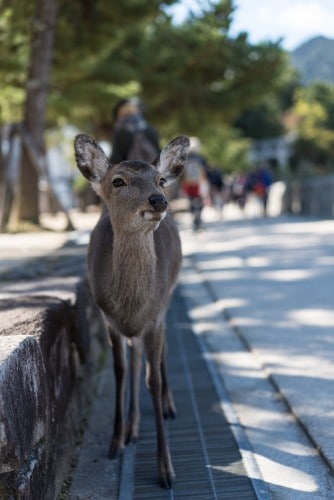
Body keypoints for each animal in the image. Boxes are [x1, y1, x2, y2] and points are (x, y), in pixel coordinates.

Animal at [74, 133, 189, 488]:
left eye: (160, 180)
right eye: (118, 181)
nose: (158, 200)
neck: (131, 304)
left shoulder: (155, 316)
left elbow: (153, 378)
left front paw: (166, 470)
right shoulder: (108, 319)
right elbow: (122, 371)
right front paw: (115, 441)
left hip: (168, 300)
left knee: (163, 354)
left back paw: (168, 406)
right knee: (136, 357)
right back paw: (132, 428)